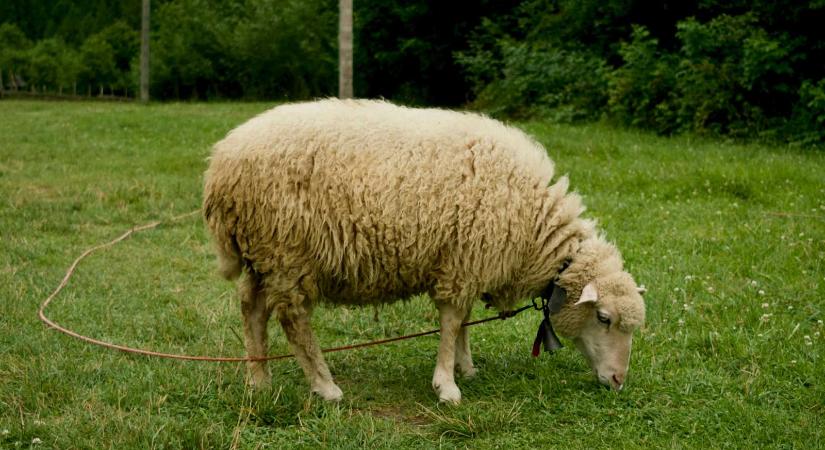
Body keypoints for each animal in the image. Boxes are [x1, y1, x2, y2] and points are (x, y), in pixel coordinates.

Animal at [203, 97, 648, 400]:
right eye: (604, 318)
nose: (618, 381)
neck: (534, 227)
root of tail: (221, 163)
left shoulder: (467, 261)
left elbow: (464, 321)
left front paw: (465, 367)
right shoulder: (463, 261)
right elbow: (451, 322)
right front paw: (447, 385)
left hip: (265, 256)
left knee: (252, 308)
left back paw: (259, 381)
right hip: (287, 252)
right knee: (293, 320)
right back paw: (325, 386)